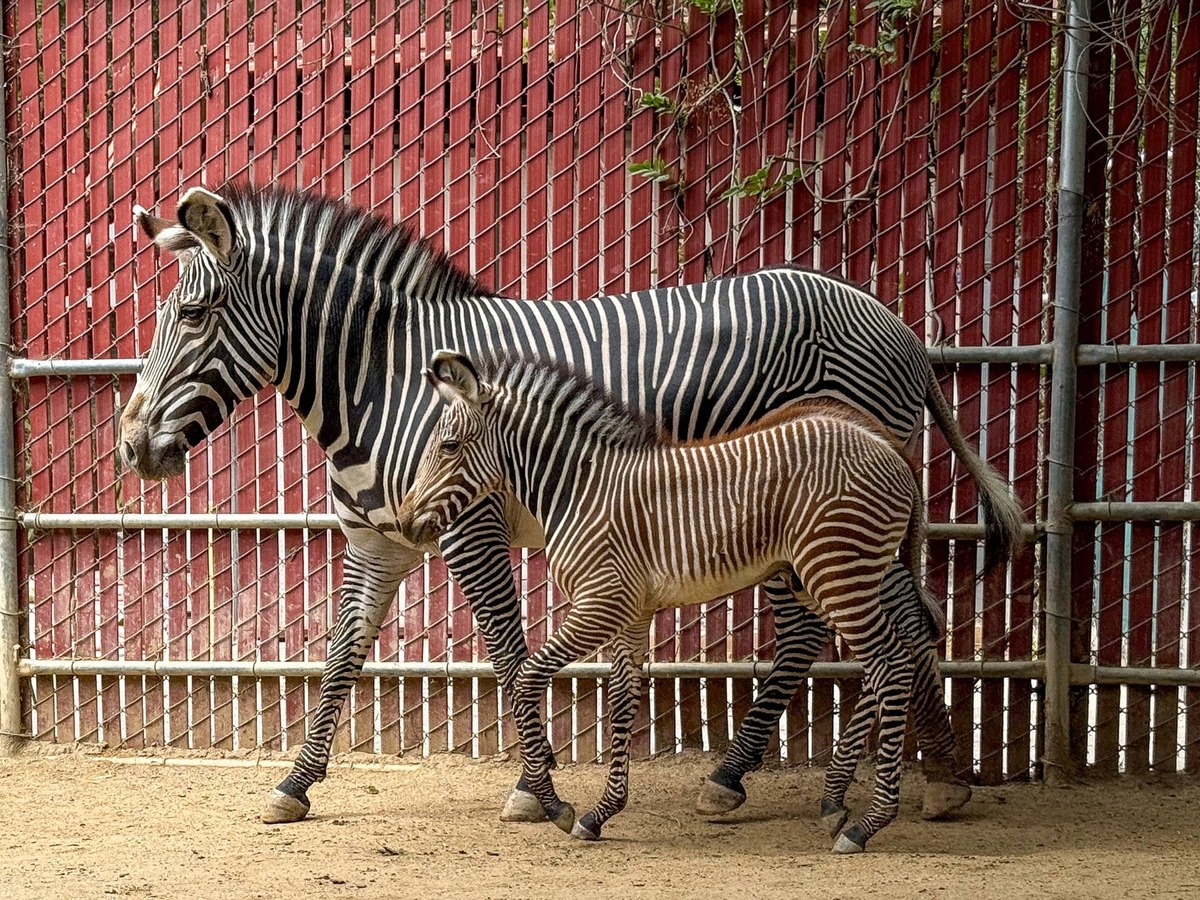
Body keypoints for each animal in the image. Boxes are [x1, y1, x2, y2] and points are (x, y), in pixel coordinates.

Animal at [397, 349, 933, 853]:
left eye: (448, 446)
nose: (403, 523)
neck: (580, 488)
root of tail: (888, 446)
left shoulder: (600, 604)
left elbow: (528, 681)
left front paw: (554, 806)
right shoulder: (631, 614)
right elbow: (621, 700)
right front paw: (601, 813)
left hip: (838, 573)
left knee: (891, 664)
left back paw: (867, 824)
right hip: (843, 576)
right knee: (895, 655)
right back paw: (836, 803)